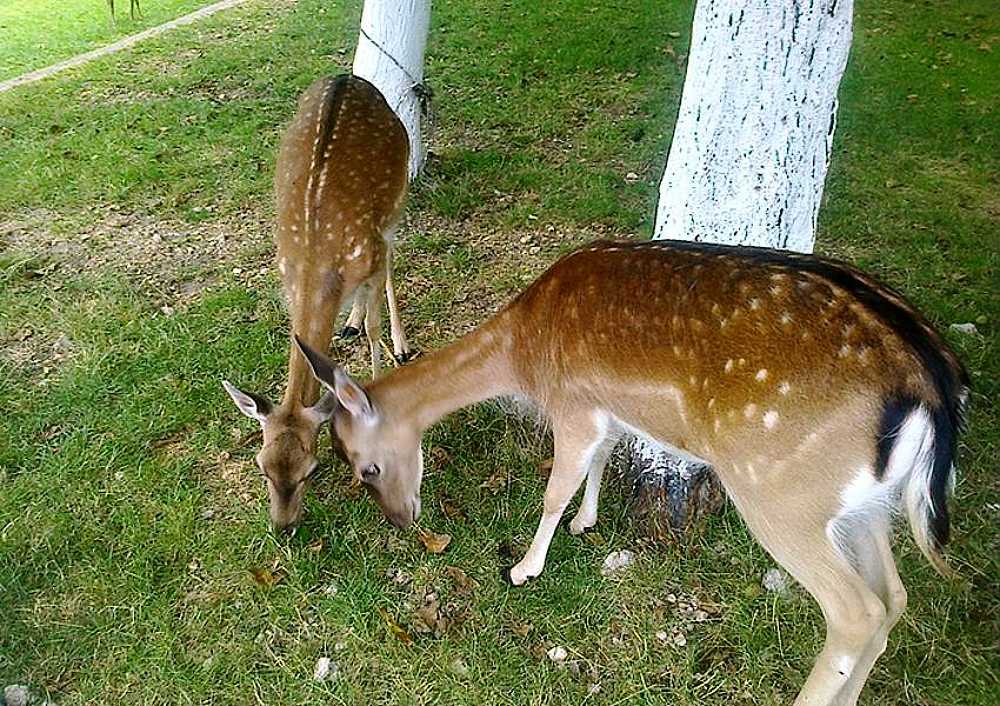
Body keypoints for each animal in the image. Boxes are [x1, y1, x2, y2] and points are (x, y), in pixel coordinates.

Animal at [225, 74, 412, 532]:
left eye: (311, 470)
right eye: (262, 466)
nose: (283, 527)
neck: (315, 258)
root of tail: (351, 77)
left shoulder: (371, 254)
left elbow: (375, 330)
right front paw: (352, 324)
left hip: (397, 196)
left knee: (394, 259)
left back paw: (400, 345)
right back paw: (349, 321)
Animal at [294, 239, 968, 700]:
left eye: (366, 467)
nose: (401, 519)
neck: (523, 352)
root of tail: (932, 387)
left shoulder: (572, 405)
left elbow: (556, 488)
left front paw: (525, 567)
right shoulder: (605, 409)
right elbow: (603, 459)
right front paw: (588, 522)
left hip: (782, 494)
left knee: (857, 612)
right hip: (864, 505)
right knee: (895, 597)